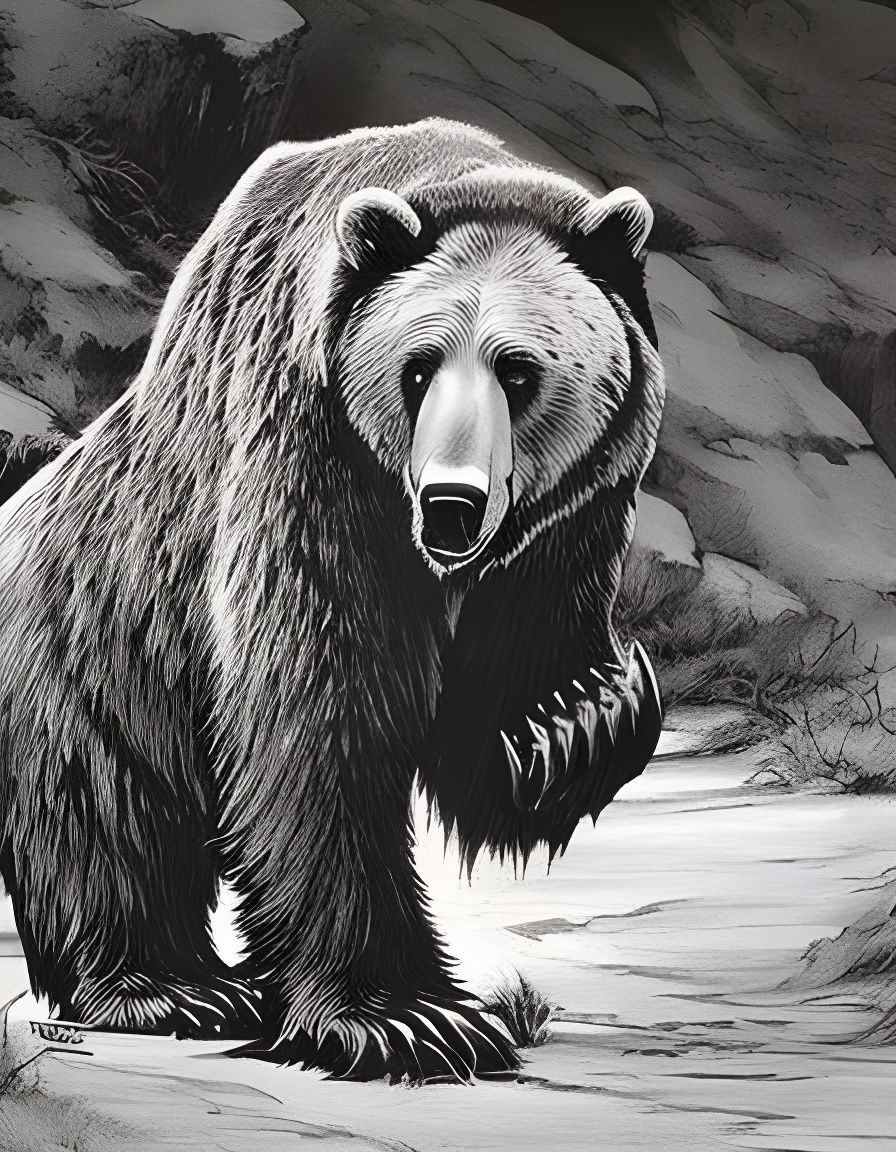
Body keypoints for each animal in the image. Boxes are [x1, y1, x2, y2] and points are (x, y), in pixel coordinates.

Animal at [0, 118, 664, 1083]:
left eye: (519, 370)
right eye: (418, 369)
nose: (454, 503)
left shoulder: (563, 529)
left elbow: (498, 726)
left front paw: (572, 720)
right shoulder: (312, 467)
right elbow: (318, 719)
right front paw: (409, 1017)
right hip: (91, 656)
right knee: (107, 818)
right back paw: (173, 989)